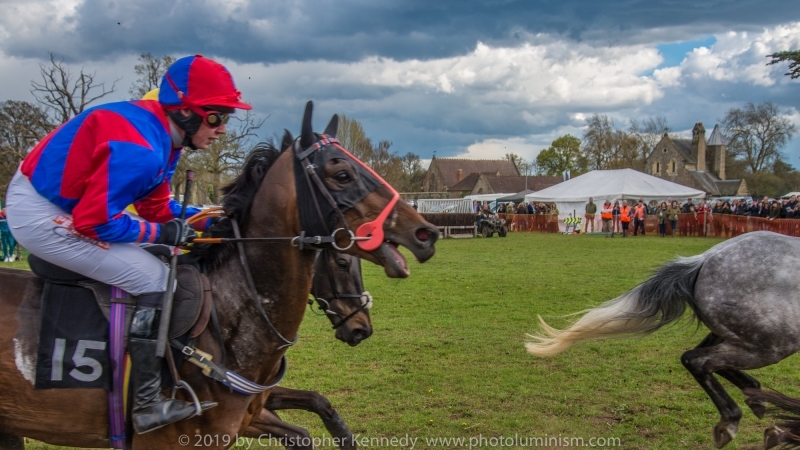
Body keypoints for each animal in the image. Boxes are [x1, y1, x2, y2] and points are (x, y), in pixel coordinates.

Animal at [524, 230, 800, 448]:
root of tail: (705, 259)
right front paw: (781, 433)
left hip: (745, 338)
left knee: (708, 360)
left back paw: (755, 401)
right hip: (771, 345)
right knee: (697, 360)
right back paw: (731, 422)